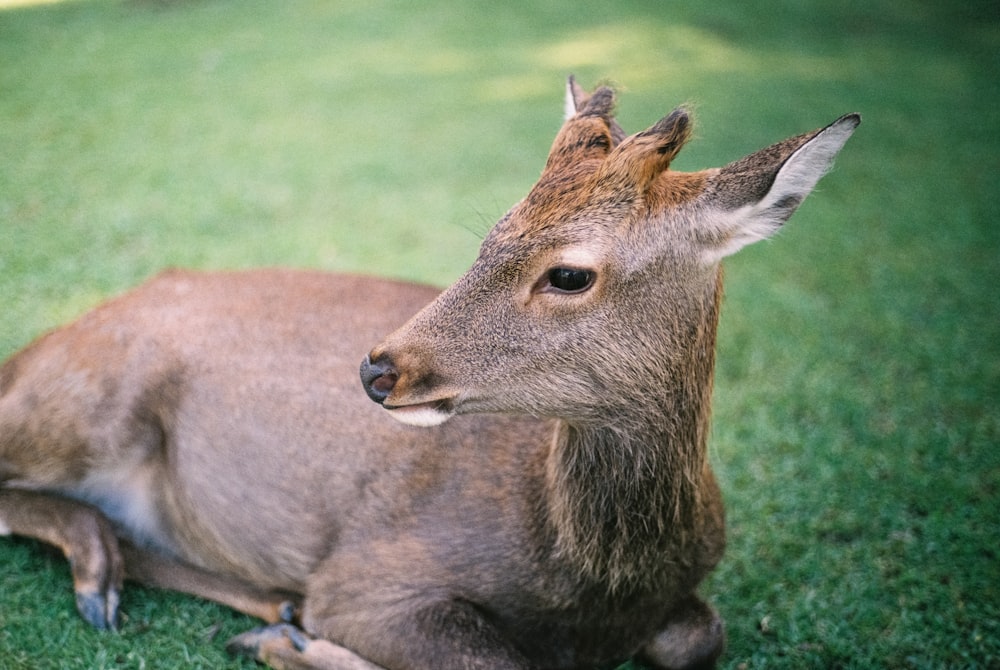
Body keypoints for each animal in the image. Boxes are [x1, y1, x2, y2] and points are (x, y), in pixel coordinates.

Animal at [1, 80, 860, 670]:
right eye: (491, 233)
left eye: (569, 274)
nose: (377, 367)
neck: (591, 586)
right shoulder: (369, 575)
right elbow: (495, 660)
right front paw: (295, 646)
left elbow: (701, 635)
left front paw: (284, 634)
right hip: (86, 402)